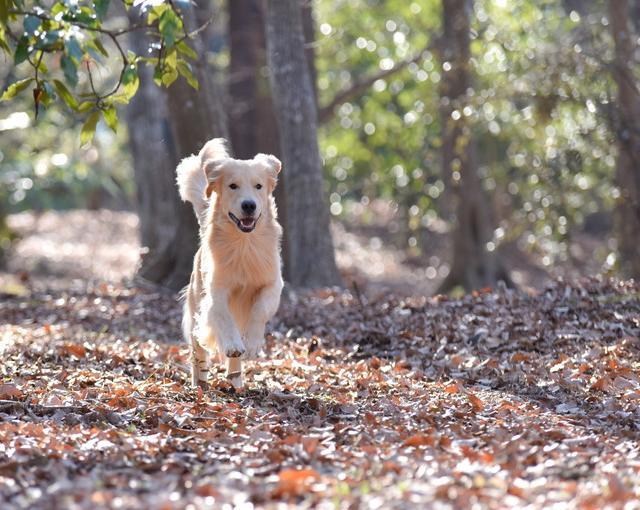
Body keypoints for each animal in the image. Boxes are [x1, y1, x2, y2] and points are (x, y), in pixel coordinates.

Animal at [176, 137, 284, 388]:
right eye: (233, 186)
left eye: (258, 186)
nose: (249, 205)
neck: (244, 244)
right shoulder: (216, 290)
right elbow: (223, 317)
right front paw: (233, 345)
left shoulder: (273, 284)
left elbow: (260, 310)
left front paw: (252, 343)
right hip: (196, 304)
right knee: (198, 349)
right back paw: (200, 382)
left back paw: (236, 381)